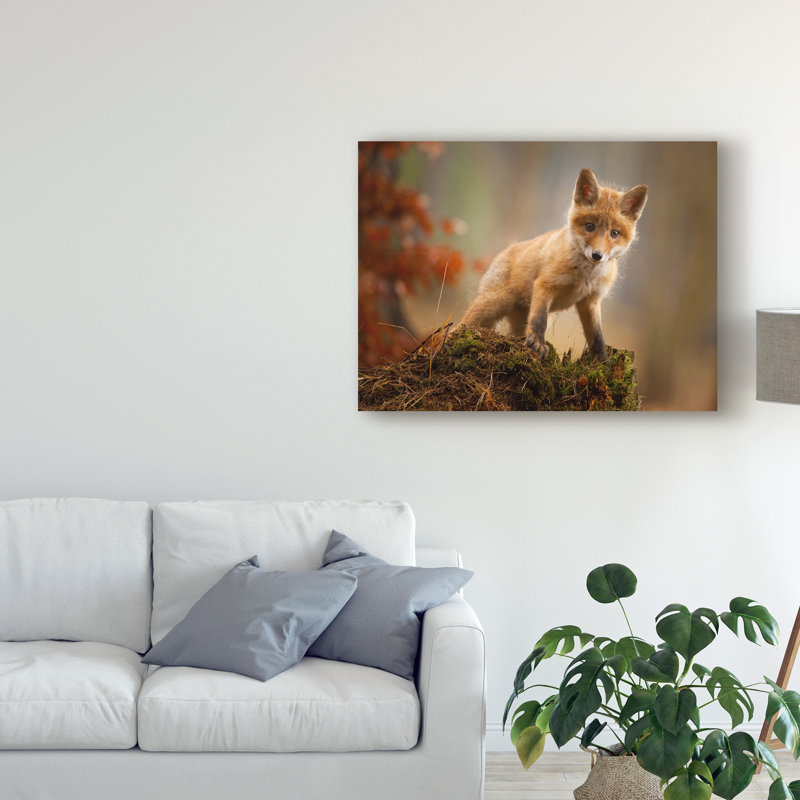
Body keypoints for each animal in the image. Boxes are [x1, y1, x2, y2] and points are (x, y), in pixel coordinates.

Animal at [461, 167, 648, 361]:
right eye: (589, 226)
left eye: (614, 233)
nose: (597, 255)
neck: (584, 277)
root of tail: (506, 250)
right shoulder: (545, 285)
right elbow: (539, 320)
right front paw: (537, 343)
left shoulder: (591, 301)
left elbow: (596, 336)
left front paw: (602, 360)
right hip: (491, 304)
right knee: (461, 325)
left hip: (517, 319)